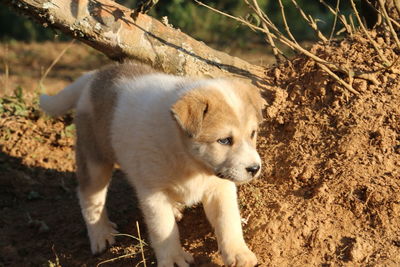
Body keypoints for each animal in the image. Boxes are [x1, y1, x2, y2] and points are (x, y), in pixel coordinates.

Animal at [39, 61, 266, 266]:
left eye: (252, 134)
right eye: (224, 140)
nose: (255, 169)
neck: (189, 161)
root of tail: (96, 76)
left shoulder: (220, 188)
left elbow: (228, 220)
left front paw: (239, 254)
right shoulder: (153, 193)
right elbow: (164, 229)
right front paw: (173, 259)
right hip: (94, 158)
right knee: (90, 196)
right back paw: (100, 234)